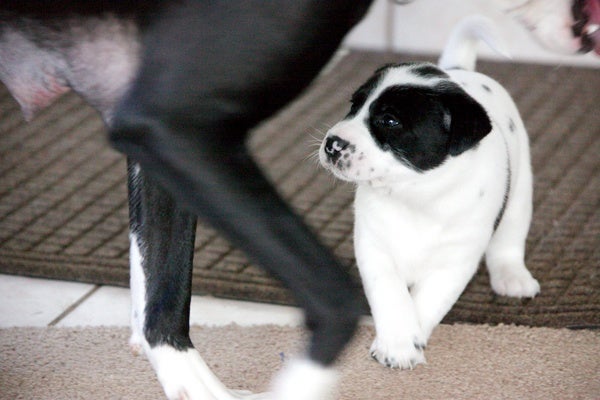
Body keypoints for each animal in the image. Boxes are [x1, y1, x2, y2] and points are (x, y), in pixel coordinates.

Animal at [322, 18, 540, 368]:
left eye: (390, 121)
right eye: (353, 107)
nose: (332, 144)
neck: (417, 195)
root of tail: (457, 69)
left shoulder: (454, 262)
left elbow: (428, 300)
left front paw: (406, 343)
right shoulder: (374, 248)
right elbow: (391, 296)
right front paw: (397, 342)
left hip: (520, 197)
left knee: (508, 242)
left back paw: (512, 277)